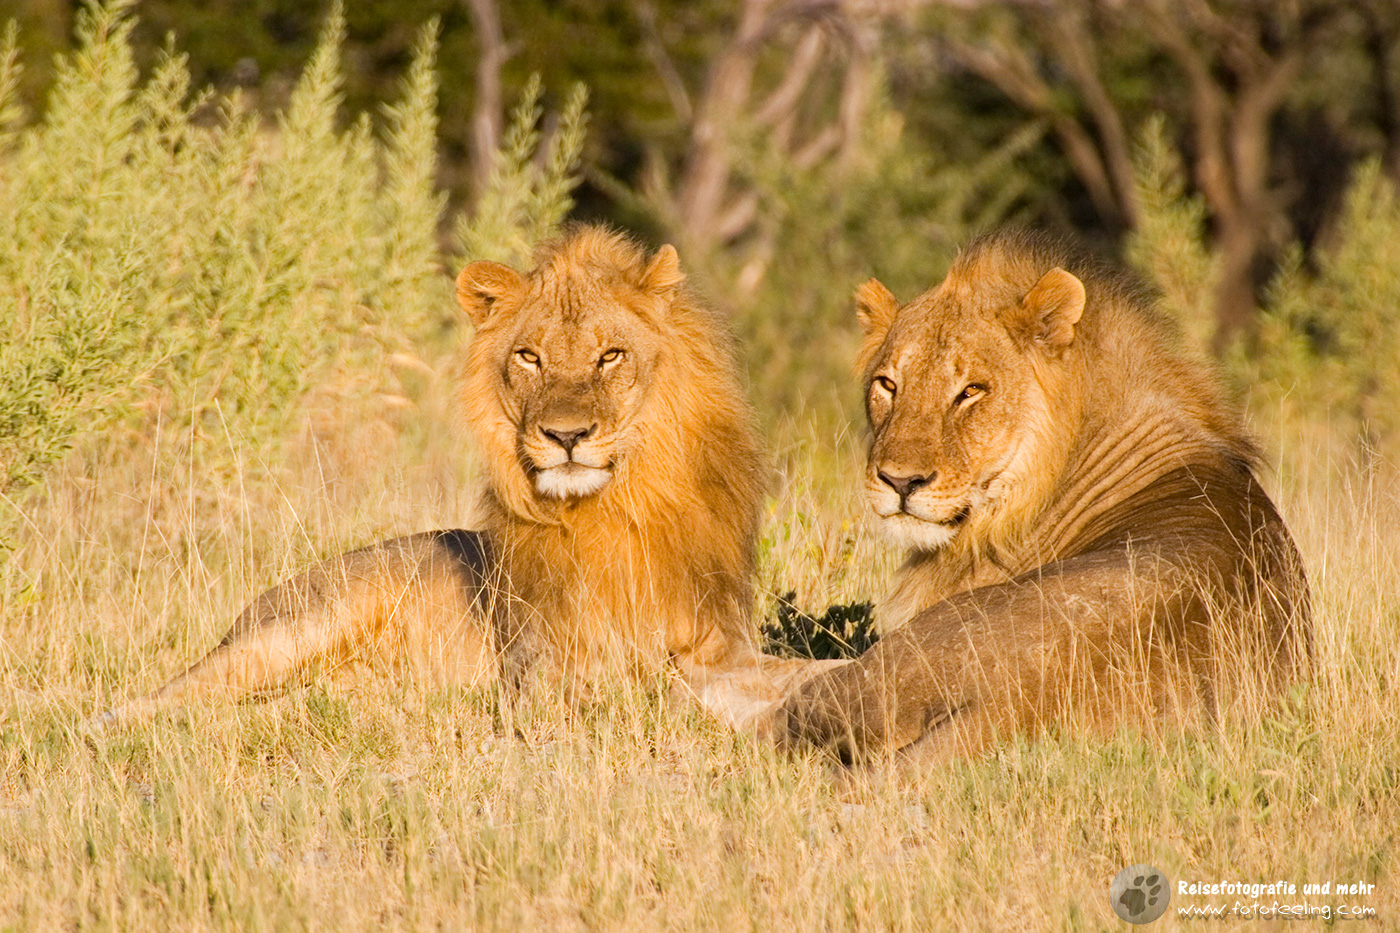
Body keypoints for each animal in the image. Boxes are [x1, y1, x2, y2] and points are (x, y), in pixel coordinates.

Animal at [103, 227, 825, 727]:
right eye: (529, 357)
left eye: (610, 355)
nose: (566, 437)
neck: (619, 505)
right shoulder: (547, 672)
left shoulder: (720, 642)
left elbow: (787, 671)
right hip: (293, 633)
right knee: (162, 700)